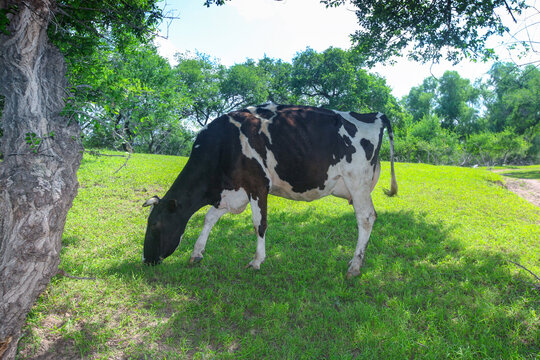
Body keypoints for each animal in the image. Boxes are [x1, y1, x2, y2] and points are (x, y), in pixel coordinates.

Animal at [142, 102, 396, 278]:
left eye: (154, 224)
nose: (146, 259)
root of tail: (373, 115)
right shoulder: (234, 192)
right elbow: (209, 218)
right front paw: (196, 253)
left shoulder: (258, 185)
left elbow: (259, 224)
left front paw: (257, 261)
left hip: (358, 182)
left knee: (366, 218)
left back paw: (355, 266)